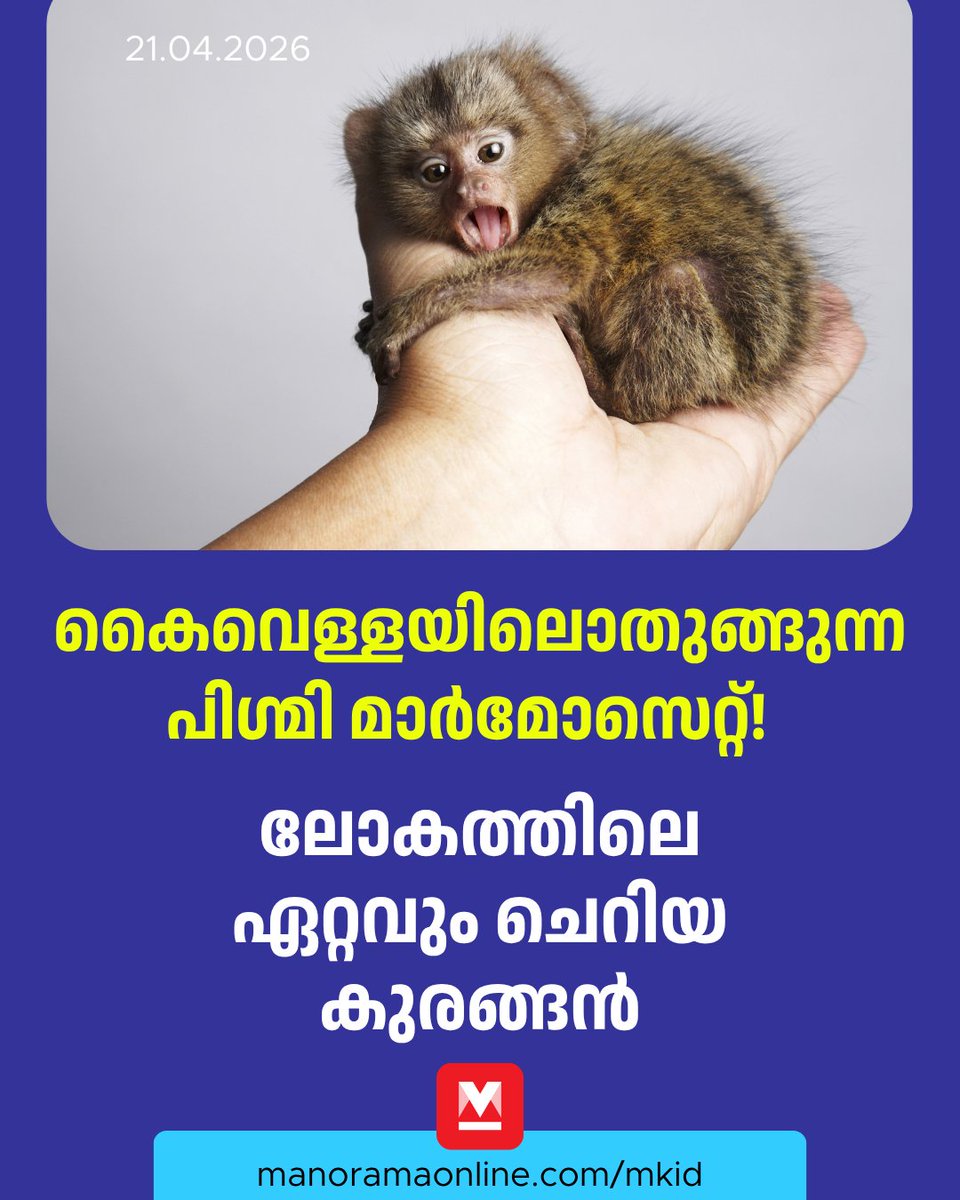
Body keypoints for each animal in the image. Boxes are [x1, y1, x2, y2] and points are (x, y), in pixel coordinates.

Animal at [344, 42, 818, 423]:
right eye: (436, 173)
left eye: (490, 152)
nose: (469, 189)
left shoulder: (589, 197)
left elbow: (560, 268)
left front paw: (414, 310)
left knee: (675, 281)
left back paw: (609, 394)